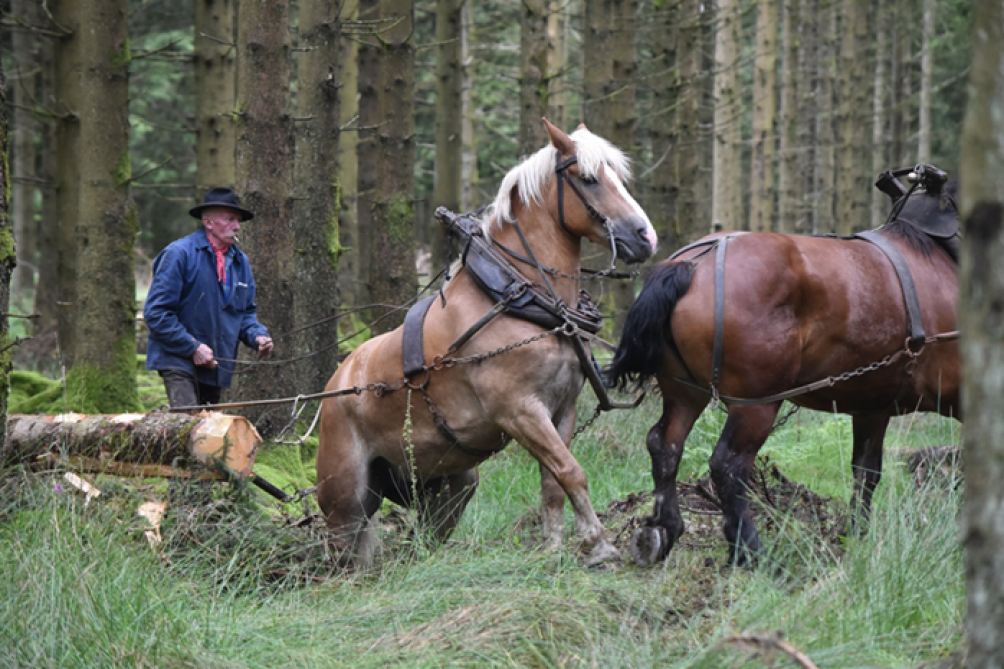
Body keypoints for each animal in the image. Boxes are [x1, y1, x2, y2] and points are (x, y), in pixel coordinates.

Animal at [315, 118, 658, 562]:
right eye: (589, 179)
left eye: (618, 176)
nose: (646, 237)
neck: (516, 298)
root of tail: (336, 384)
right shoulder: (520, 410)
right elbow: (572, 471)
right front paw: (599, 544)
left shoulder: (561, 409)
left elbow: (554, 480)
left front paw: (552, 548)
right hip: (346, 499)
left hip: (451, 484)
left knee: (422, 540)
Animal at [606, 170, 959, 562]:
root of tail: (694, 262)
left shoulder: (872, 408)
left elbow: (866, 473)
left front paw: (856, 536)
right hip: (756, 404)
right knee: (729, 465)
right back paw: (750, 550)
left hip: (685, 391)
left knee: (664, 444)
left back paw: (666, 529)